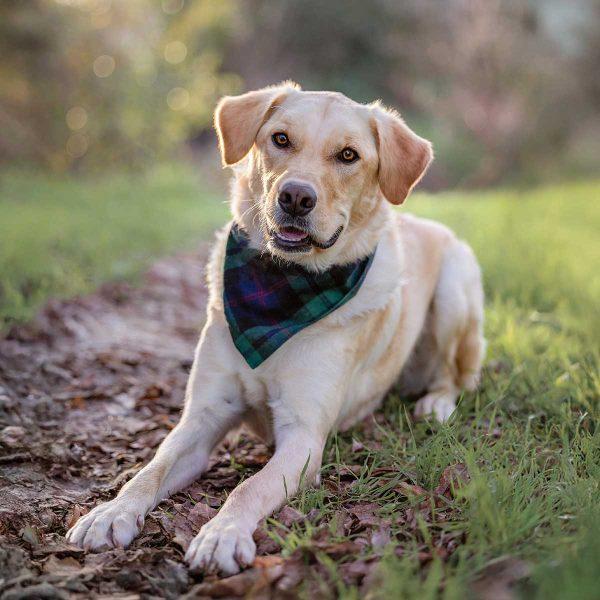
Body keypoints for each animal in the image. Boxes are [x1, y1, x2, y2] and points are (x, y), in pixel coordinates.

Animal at [67, 82, 488, 576]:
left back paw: (436, 403)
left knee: (455, 374)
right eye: (281, 139)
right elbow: (151, 467)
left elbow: (247, 487)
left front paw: (222, 534)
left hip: (456, 288)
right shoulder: (203, 414)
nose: (296, 197)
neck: (282, 291)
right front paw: (111, 512)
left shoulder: (303, 436)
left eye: (348, 155)